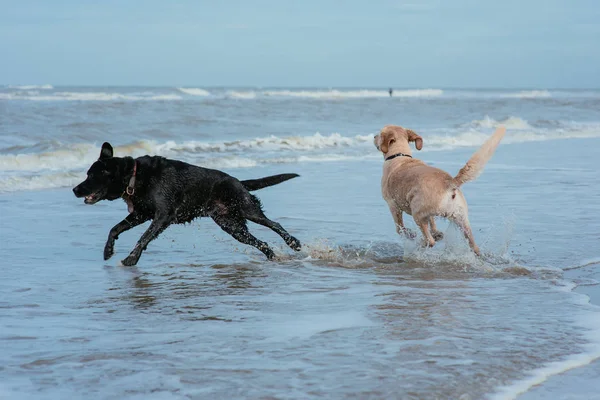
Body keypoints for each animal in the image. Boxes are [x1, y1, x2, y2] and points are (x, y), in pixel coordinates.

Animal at [73, 143, 302, 266]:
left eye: (91, 175)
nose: (75, 189)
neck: (134, 176)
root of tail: (238, 181)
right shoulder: (141, 214)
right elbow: (115, 228)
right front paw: (108, 251)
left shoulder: (162, 216)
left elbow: (143, 238)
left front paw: (131, 259)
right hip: (231, 226)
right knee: (261, 242)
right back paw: (272, 257)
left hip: (247, 208)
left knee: (274, 225)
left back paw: (294, 243)